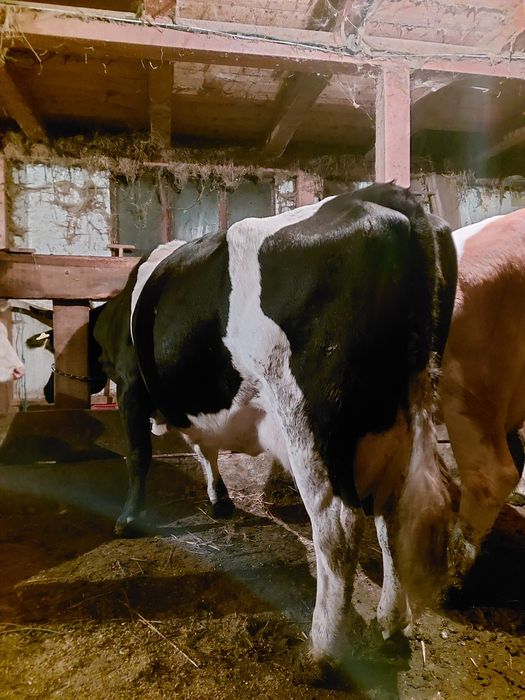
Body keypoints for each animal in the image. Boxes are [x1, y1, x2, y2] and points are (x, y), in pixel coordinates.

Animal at [94, 182, 457, 670]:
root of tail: (389, 199)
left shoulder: (131, 385)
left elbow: (138, 456)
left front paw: (128, 518)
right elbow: (203, 447)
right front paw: (220, 499)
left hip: (308, 421)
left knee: (338, 527)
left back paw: (323, 650)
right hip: (402, 416)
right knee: (393, 513)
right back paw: (390, 621)